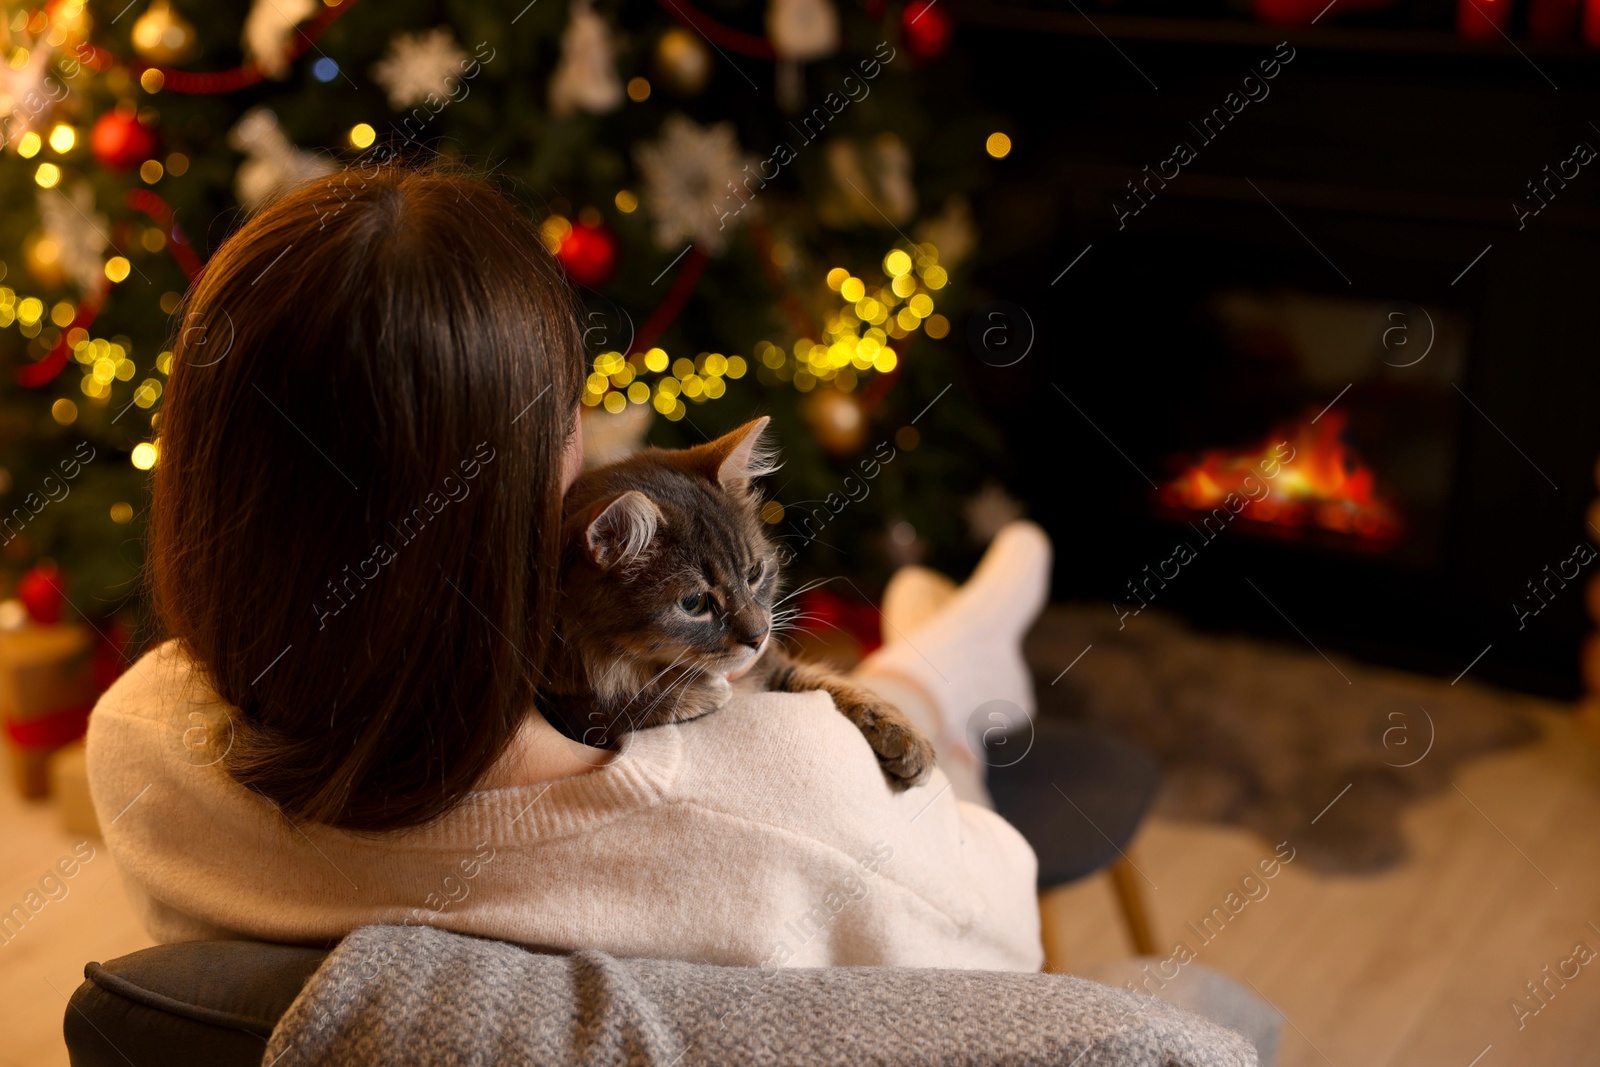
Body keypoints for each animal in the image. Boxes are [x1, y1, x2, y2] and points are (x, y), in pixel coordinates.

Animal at [540, 415, 934, 793]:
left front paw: (902, 735)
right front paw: (694, 695)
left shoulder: (771, 666)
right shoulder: (562, 698)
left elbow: (826, 681)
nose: (759, 637)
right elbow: (604, 708)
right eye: (693, 603)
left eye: (754, 572)